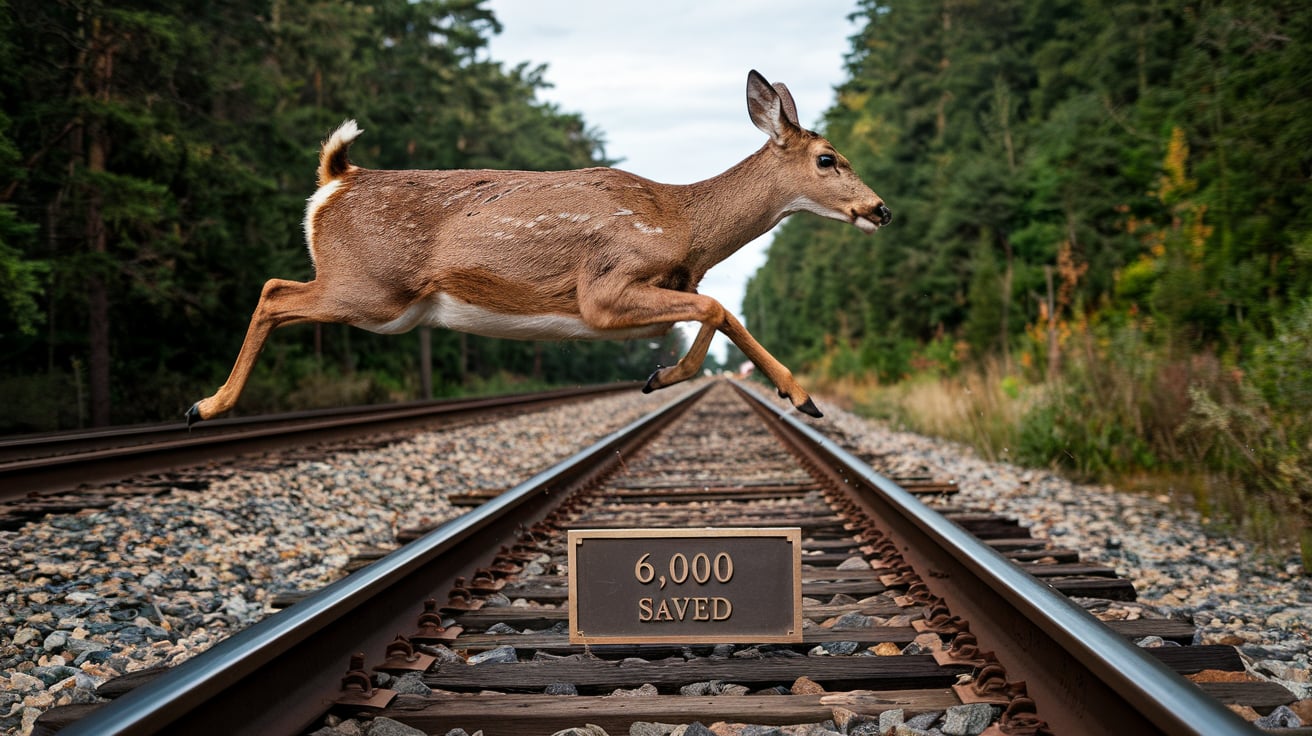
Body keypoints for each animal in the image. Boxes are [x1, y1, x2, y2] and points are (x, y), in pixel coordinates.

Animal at [186, 70, 890, 426]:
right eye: (829, 158)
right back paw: (204, 406)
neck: (685, 226)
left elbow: (712, 313)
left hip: (381, 301)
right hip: (370, 290)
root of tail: (336, 177)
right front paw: (795, 395)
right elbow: (718, 309)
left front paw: (666, 376)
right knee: (273, 291)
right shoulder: (604, 288)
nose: (880, 208)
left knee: (275, 289)